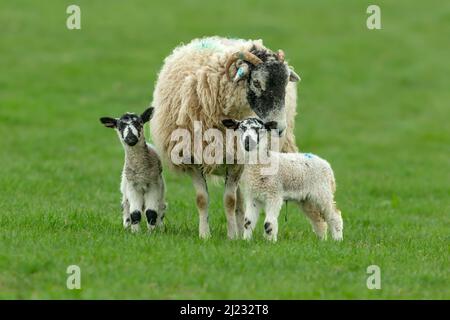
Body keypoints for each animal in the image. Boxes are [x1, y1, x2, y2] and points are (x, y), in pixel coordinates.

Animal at [149, 36, 300, 239]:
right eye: (256, 83)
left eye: (285, 84)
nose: (279, 128)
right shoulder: (191, 159)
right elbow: (202, 199)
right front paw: (204, 234)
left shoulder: (236, 161)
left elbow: (230, 200)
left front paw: (232, 236)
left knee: (240, 201)